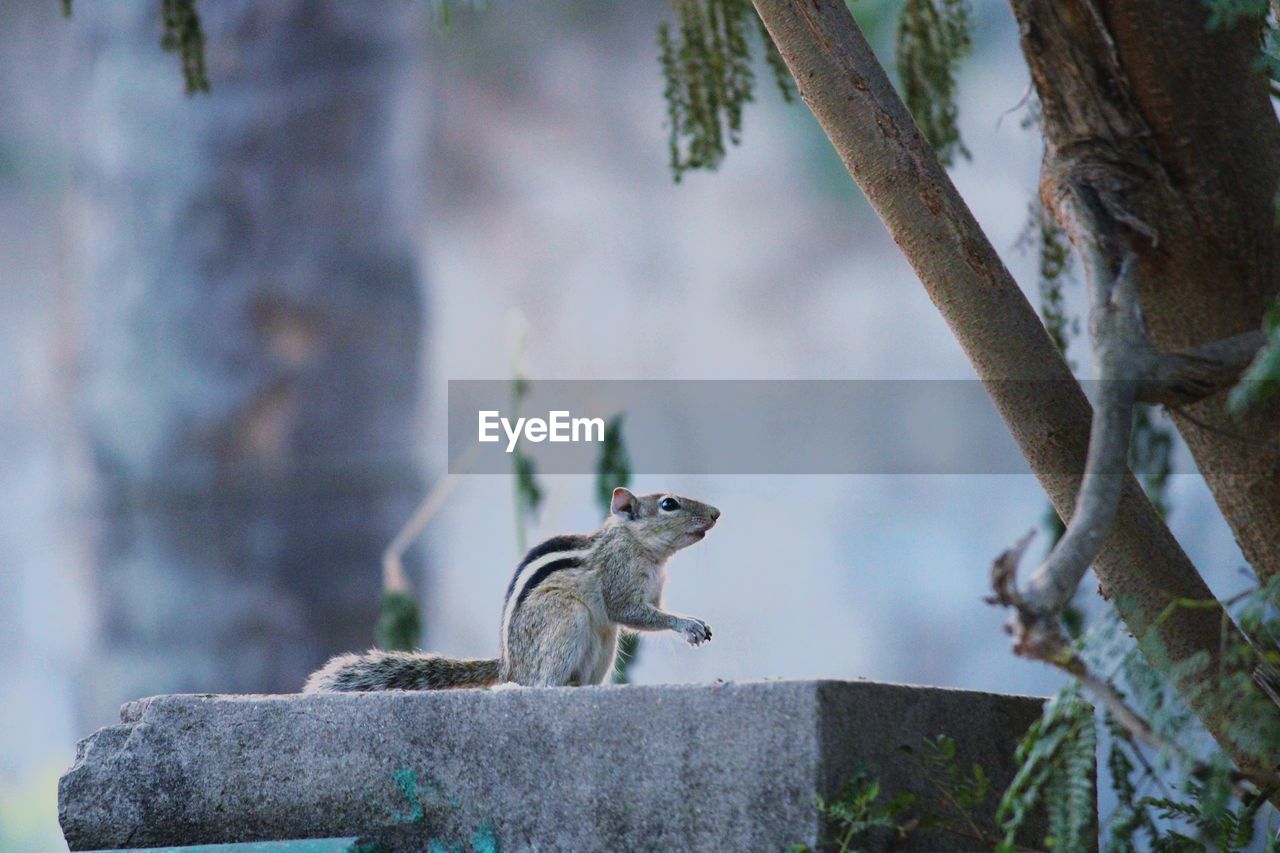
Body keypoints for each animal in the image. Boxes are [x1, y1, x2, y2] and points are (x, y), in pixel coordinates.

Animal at [300, 484, 721, 691]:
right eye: (669, 504)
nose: (717, 514)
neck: (640, 547)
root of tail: (508, 666)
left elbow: (647, 612)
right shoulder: (618, 578)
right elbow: (628, 612)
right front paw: (687, 625)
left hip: (604, 644)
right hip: (566, 618)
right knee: (539, 682)